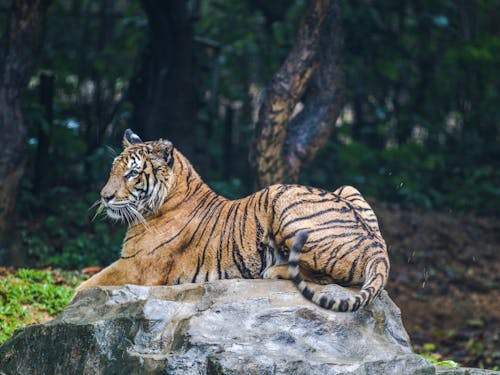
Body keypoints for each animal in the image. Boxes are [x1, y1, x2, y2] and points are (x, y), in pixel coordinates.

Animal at [76, 131, 390, 312]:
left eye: (132, 173)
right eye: (113, 169)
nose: (104, 197)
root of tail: (378, 250)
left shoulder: (135, 266)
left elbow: (83, 288)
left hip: (281, 198)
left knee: (324, 276)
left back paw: (273, 271)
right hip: (348, 188)